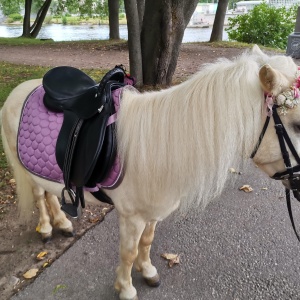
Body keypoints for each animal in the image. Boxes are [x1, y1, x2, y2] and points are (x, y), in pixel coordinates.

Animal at [0, 45, 300, 300]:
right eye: (296, 124)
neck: (161, 144)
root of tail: (19, 90)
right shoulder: (131, 216)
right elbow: (129, 252)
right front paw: (126, 288)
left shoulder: (153, 213)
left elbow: (146, 243)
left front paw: (147, 272)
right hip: (26, 169)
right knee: (40, 196)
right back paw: (47, 228)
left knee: (51, 195)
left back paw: (63, 223)